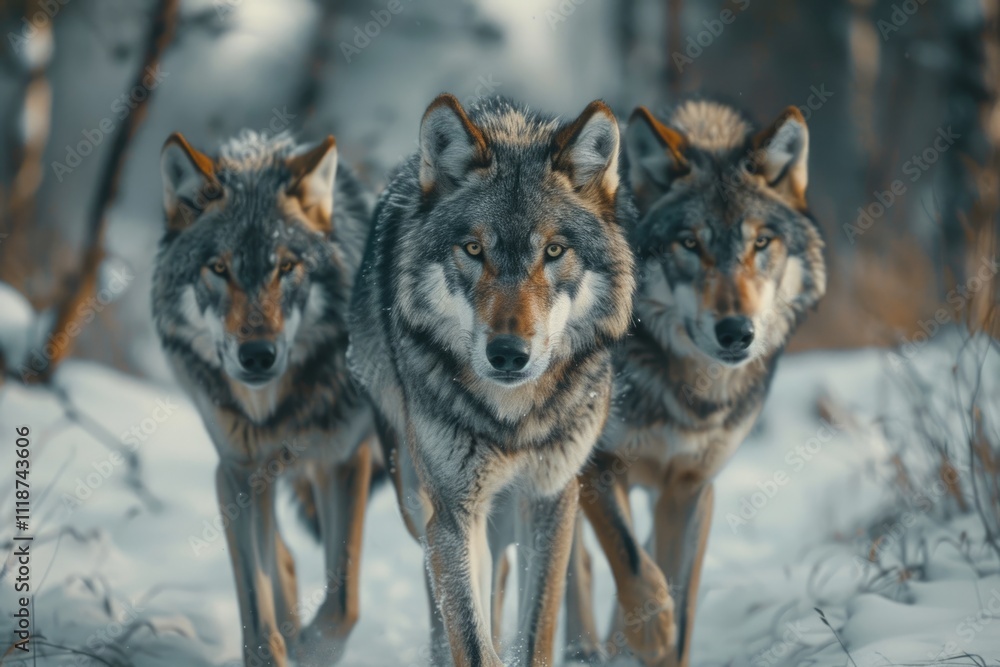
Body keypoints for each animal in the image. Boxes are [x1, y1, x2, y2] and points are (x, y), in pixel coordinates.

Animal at [153, 130, 374, 667]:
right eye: (218, 268)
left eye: (287, 267)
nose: (257, 355)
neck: (276, 412)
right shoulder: (237, 473)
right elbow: (256, 606)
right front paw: (279, 648)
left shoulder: (345, 460)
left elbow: (344, 601)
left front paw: (314, 650)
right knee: (284, 558)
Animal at [348, 94, 636, 666]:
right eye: (474, 250)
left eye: (554, 251)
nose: (508, 354)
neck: (512, 417)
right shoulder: (454, 513)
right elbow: (471, 637)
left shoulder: (549, 497)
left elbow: (538, 630)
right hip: (418, 498)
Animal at [564, 100, 827, 666]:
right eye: (690, 244)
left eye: (761, 243)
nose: (736, 332)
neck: (690, 394)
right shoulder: (600, 464)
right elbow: (631, 559)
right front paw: (650, 630)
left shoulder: (689, 488)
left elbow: (679, 596)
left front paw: (659, 638)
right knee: (573, 569)